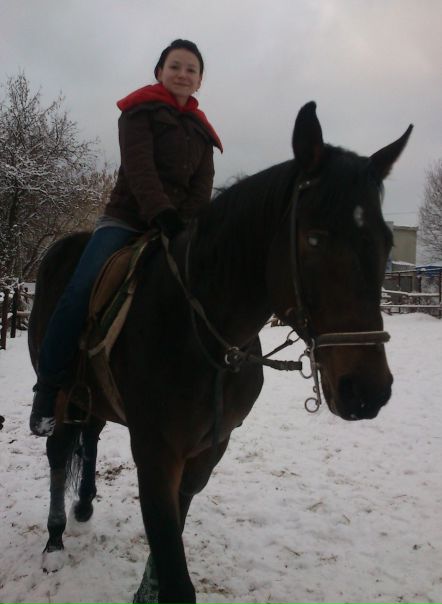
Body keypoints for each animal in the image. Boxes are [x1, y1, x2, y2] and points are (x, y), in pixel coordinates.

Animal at [28, 102, 412, 603]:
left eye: (386, 241)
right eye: (313, 238)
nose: (368, 391)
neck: (202, 335)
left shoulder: (208, 450)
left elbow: (172, 536)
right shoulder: (155, 455)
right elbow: (175, 570)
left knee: (89, 436)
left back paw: (85, 506)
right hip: (61, 391)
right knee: (57, 449)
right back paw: (54, 540)